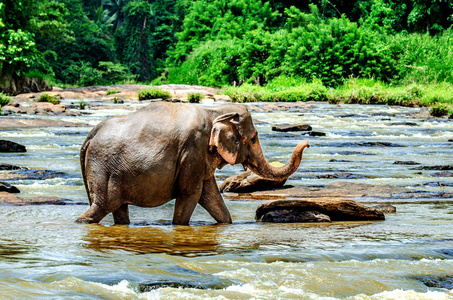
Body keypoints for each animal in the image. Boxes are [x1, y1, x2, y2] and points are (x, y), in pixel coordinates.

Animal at [77, 101, 310, 225]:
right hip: (103, 167)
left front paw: (226, 223)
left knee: (118, 209)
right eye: (253, 138)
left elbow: (210, 196)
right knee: (102, 206)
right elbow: (191, 193)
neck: (214, 111)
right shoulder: (192, 151)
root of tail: (89, 137)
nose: (307, 143)